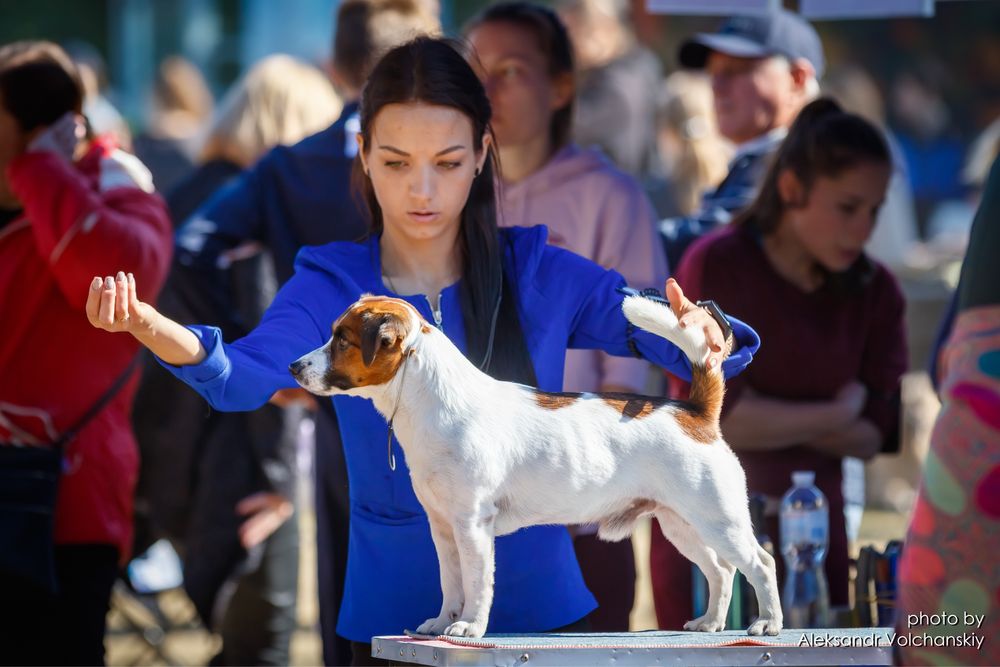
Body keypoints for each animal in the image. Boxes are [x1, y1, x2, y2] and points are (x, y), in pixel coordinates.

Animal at [290, 294, 780, 640]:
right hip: (681, 524)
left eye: (342, 339)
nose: (294, 365)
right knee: (721, 570)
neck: (433, 401)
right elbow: (451, 582)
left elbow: (476, 583)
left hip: (720, 520)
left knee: (761, 563)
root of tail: (695, 412)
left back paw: (768, 624)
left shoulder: (472, 525)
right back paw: (711, 623)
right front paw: (441, 622)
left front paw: (469, 626)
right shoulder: (442, 527)